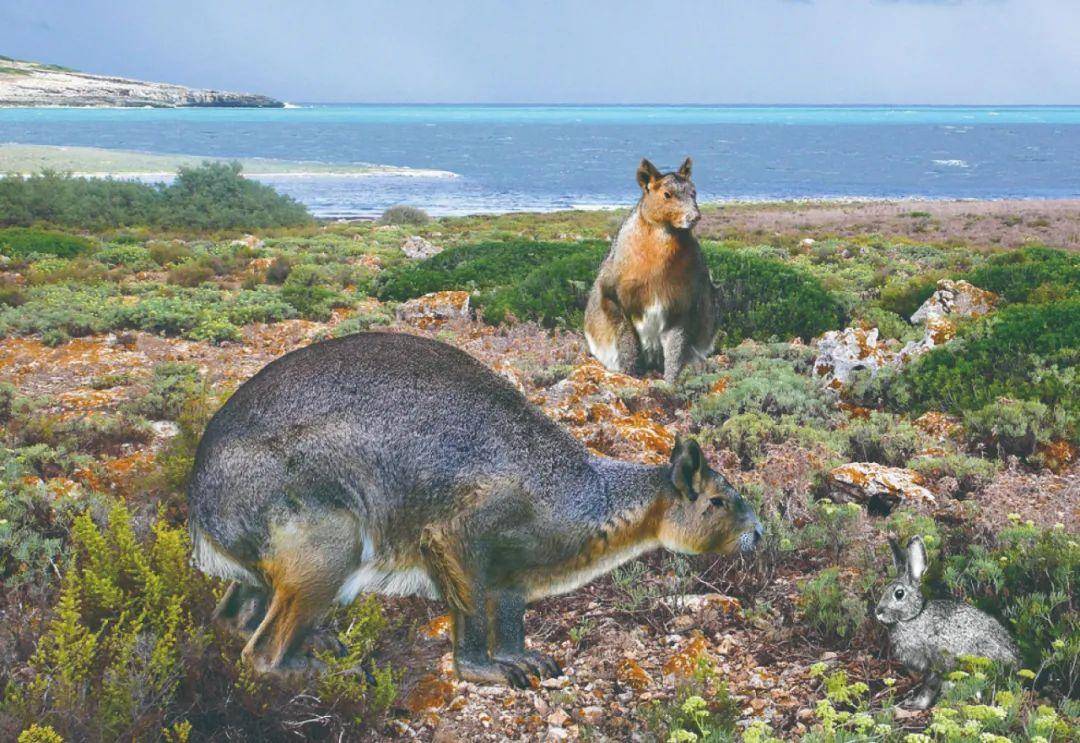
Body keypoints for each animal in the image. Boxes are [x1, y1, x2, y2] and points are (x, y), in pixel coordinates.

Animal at [872, 533, 1015, 708]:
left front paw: (918, 704)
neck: (915, 616)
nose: (878, 612)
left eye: (899, 594)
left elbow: (930, 686)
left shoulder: (936, 662)